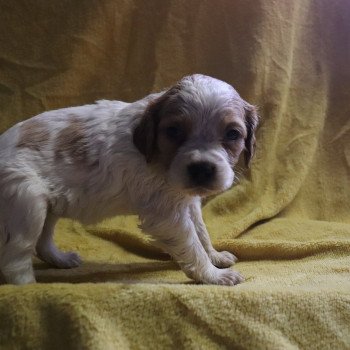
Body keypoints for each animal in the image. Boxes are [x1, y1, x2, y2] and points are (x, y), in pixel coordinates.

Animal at [0, 74, 258, 284]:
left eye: (232, 134)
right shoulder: (166, 215)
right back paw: (29, 288)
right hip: (26, 204)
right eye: (173, 131)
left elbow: (201, 232)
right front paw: (213, 275)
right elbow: (192, 245)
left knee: (42, 243)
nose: (202, 169)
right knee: (15, 258)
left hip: (48, 205)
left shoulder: (187, 201)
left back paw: (61, 260)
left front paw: (215, 256)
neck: (160, 161)